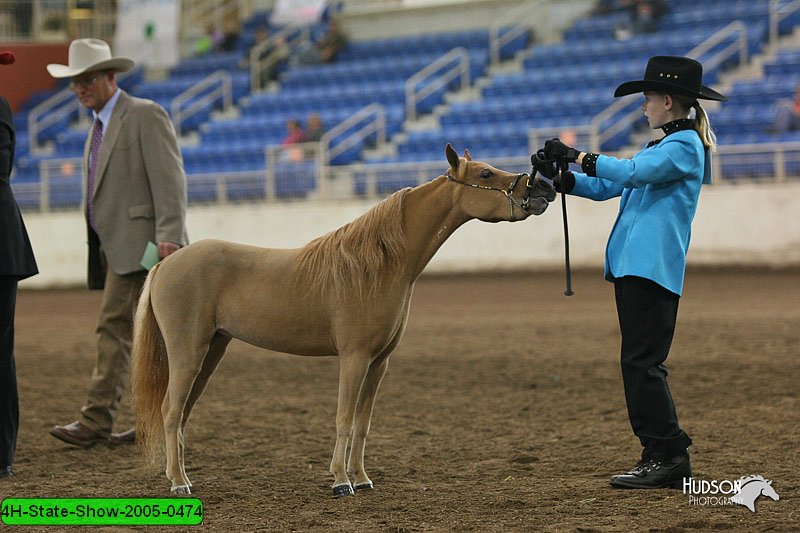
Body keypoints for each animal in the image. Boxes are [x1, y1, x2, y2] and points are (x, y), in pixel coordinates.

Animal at [133, 144, 556, 494]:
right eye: (485, 174)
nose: (541, 191)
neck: (379, 266)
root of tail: (166, 264)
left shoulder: (379, 363)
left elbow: (363, 424)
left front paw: (362, 478)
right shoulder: (354, 358)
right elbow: (344, 419)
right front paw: (340, 481)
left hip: (211, 353)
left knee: (182, 413)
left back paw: (178, 475)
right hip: (188, 353)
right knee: (171, 411)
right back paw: (180, 483)